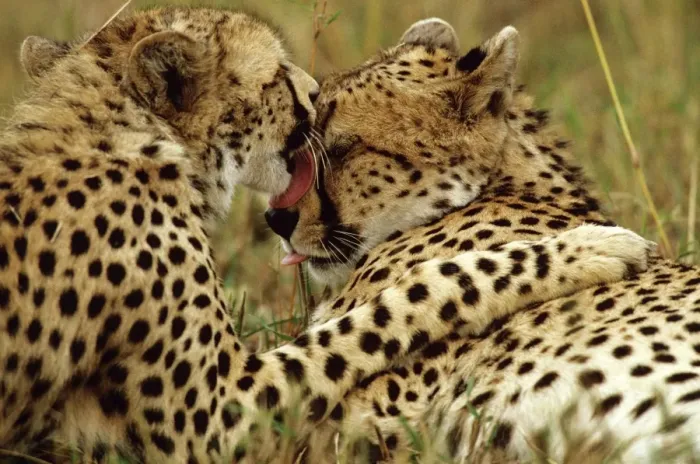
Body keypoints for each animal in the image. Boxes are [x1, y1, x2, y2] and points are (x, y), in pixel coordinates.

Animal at [0, 7, 656, 463]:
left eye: (339, 148)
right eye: (282, 84)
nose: (276, 220)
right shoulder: (221, 415)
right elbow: (415, 297)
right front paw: (590, 247)